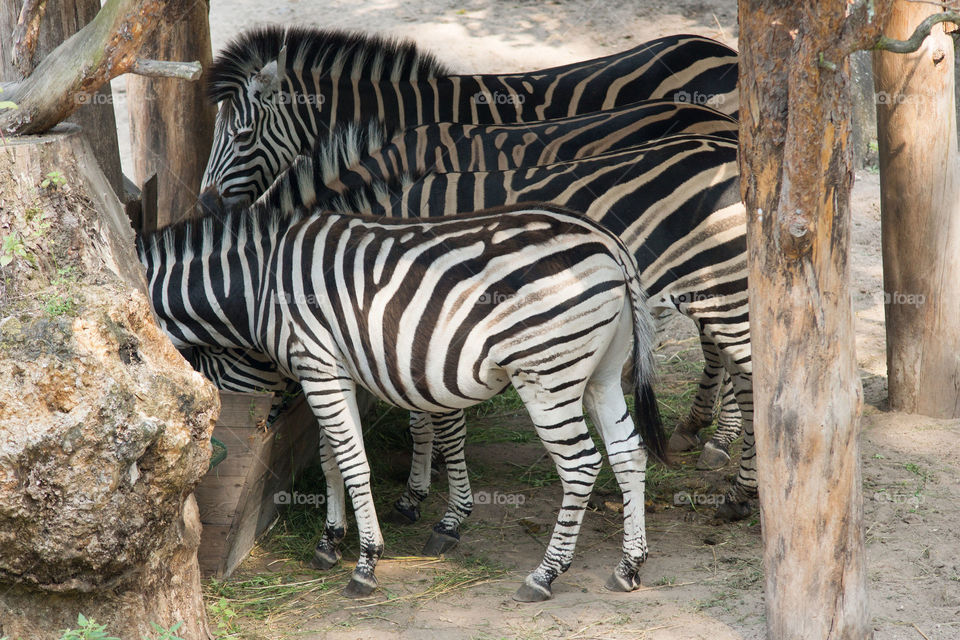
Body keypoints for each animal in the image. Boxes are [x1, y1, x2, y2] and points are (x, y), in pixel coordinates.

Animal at [137, 201, 668, 601]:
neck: (259, 284)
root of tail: (609, 241)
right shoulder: (335, 370)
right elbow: (331, 457)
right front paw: (331, 540)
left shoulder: (317, 364)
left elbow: (353, 462)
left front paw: (366, 563)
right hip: (601, 372)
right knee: (629, 452)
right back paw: (629, 566)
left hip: (546, 373)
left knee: (580, 465)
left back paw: (545, 575)